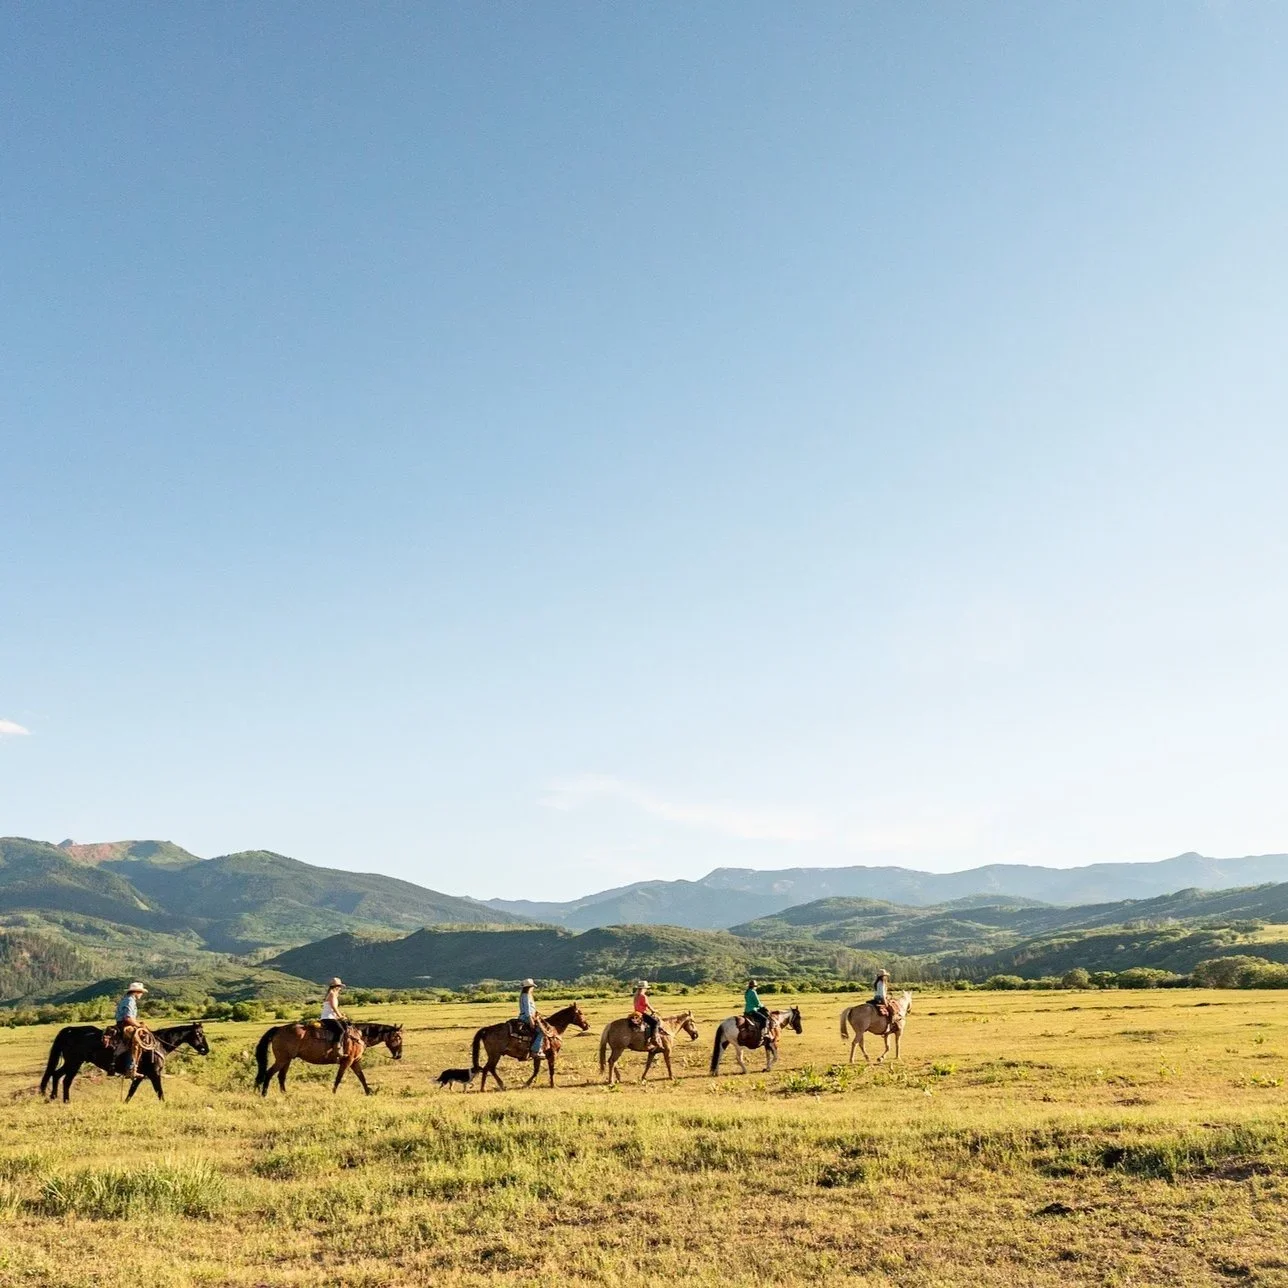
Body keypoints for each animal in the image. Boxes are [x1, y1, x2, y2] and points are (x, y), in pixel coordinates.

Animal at [40, 1022, 210, 1103]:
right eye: (199, 1034)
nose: (206, 1050)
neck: (159, 1044)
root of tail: (70, 1030)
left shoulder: (141, 1075)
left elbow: (131, 1092)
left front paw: (124, 1103)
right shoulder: (154, 1074)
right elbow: (159, 1092)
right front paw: (165, 1105)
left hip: (70, 1062)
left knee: (56, 1074)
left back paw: (53, 1097)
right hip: (75, 1062)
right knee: (66, 1080)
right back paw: (66, 1100)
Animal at [254, 1020, 404, 1096]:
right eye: (398, 1038)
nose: (399, 1055)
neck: (359, 1036)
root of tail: (278, 1029)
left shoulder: (355, 1062)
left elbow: (362, 1077)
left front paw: (368, 1092)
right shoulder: (347, 1061)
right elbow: (339, 1078)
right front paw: (334, 1093)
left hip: (287, 1060)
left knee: (281, 1076)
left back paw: (285, 1094)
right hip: (282, 1059)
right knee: (269, 1073)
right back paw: (264, 1094)